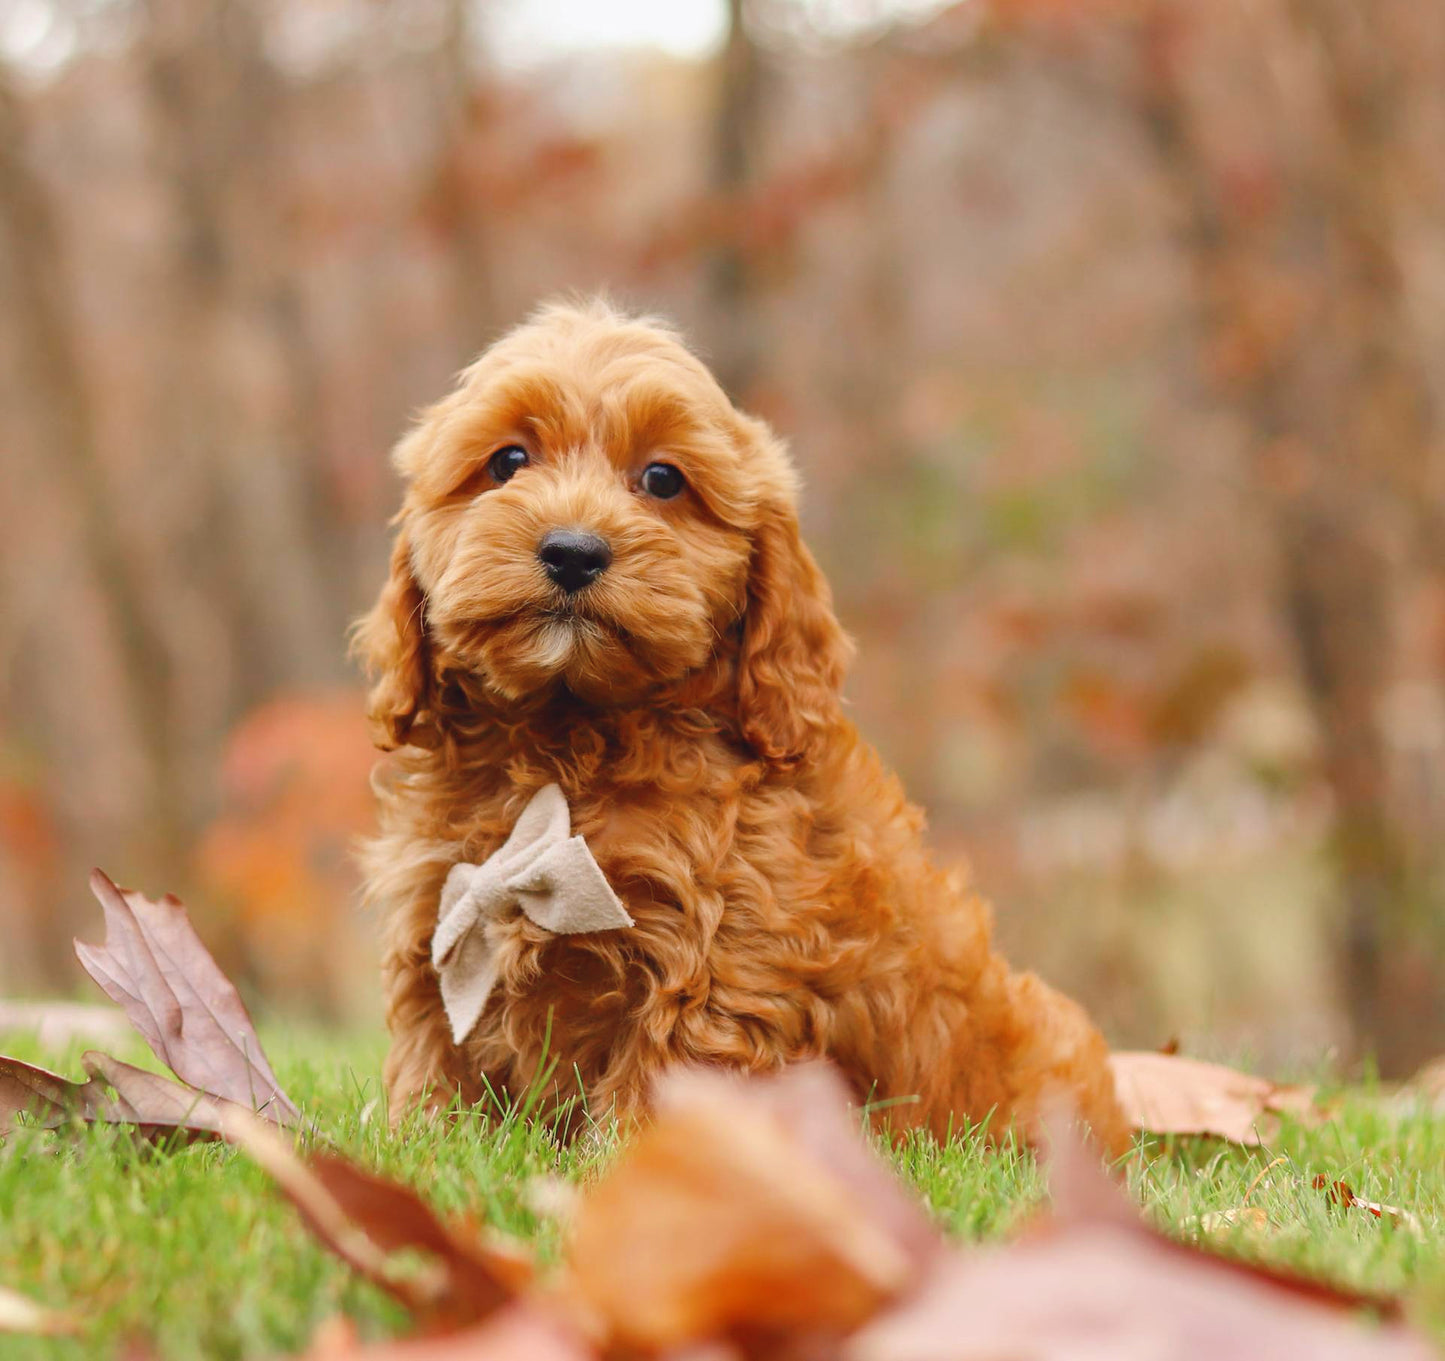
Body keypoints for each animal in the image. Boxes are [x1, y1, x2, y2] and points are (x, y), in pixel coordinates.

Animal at [352, 300, 1127, 1161]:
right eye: (507, 461)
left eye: (662, 478)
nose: (573, 551)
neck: (567, 739)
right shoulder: (440, 912)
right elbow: (436, 1055)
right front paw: (425, 1141)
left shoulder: (714, 958)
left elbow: (664, 1077)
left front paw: (636, 1168)